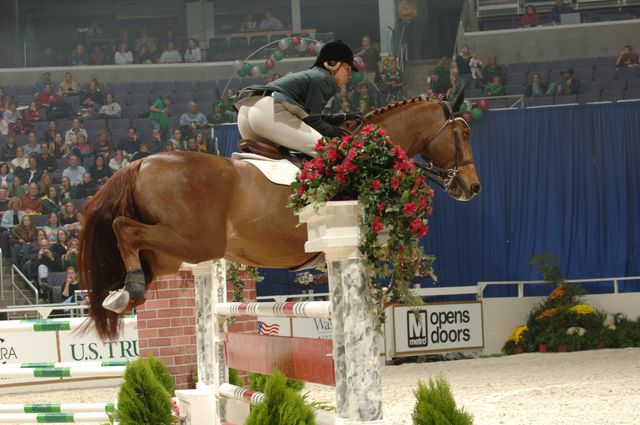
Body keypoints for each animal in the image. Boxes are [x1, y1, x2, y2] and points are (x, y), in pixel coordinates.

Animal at [79, 96, 480, 338]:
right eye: (463, 133)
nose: (471, 187)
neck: (368, 157)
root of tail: (139, 163)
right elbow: (408, 257)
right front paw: (384, 299)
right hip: (196, 243)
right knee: (123, 228)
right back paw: (129, 288)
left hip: (172, 255)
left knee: (137, 247)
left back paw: (124, 294)